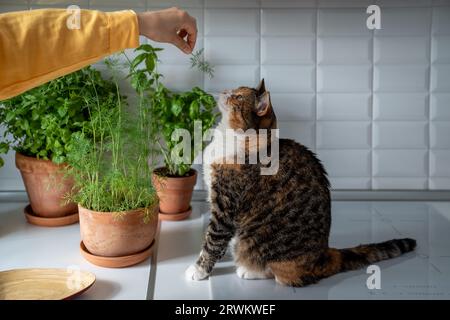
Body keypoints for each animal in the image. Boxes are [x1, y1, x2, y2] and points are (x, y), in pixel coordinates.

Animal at [185, 79, 416, 286]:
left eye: (239, 96)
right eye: (235, 90)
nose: (225, 90)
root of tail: (324, 254)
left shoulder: (225, 206)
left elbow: (213, 240)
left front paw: (199, 269)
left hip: (259, 241)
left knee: (280, 273)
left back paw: (250, 270)